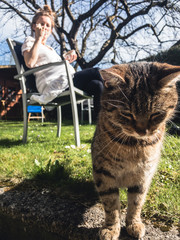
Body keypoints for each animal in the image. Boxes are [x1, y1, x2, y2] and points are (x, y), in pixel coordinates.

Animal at [92, 61, 179, 239]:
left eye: (156, 114)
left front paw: (134, 224)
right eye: (127, 113)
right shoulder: (103, 173)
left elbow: (136, 202)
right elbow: (111, 205)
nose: (142, 131)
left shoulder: (143, 175)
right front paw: (111, 228)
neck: (135, 145)